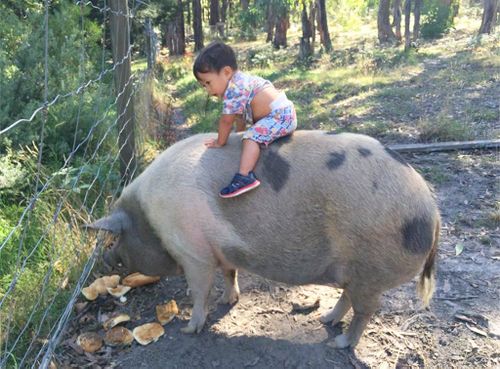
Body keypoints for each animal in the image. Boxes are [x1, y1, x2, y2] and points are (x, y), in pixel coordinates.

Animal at [88, 131, 440, 346]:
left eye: (116, 239)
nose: (106, 258)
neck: (150, 218)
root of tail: (431, 211)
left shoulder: (194, 253)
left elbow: (200, 291)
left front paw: (189, 328)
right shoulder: (222, 251)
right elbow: (229, 273)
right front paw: (228, 301)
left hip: (370, 270)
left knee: (366, 309)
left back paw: (340, 343)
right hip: (356, 272)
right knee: (348, 299)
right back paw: (325, 320)